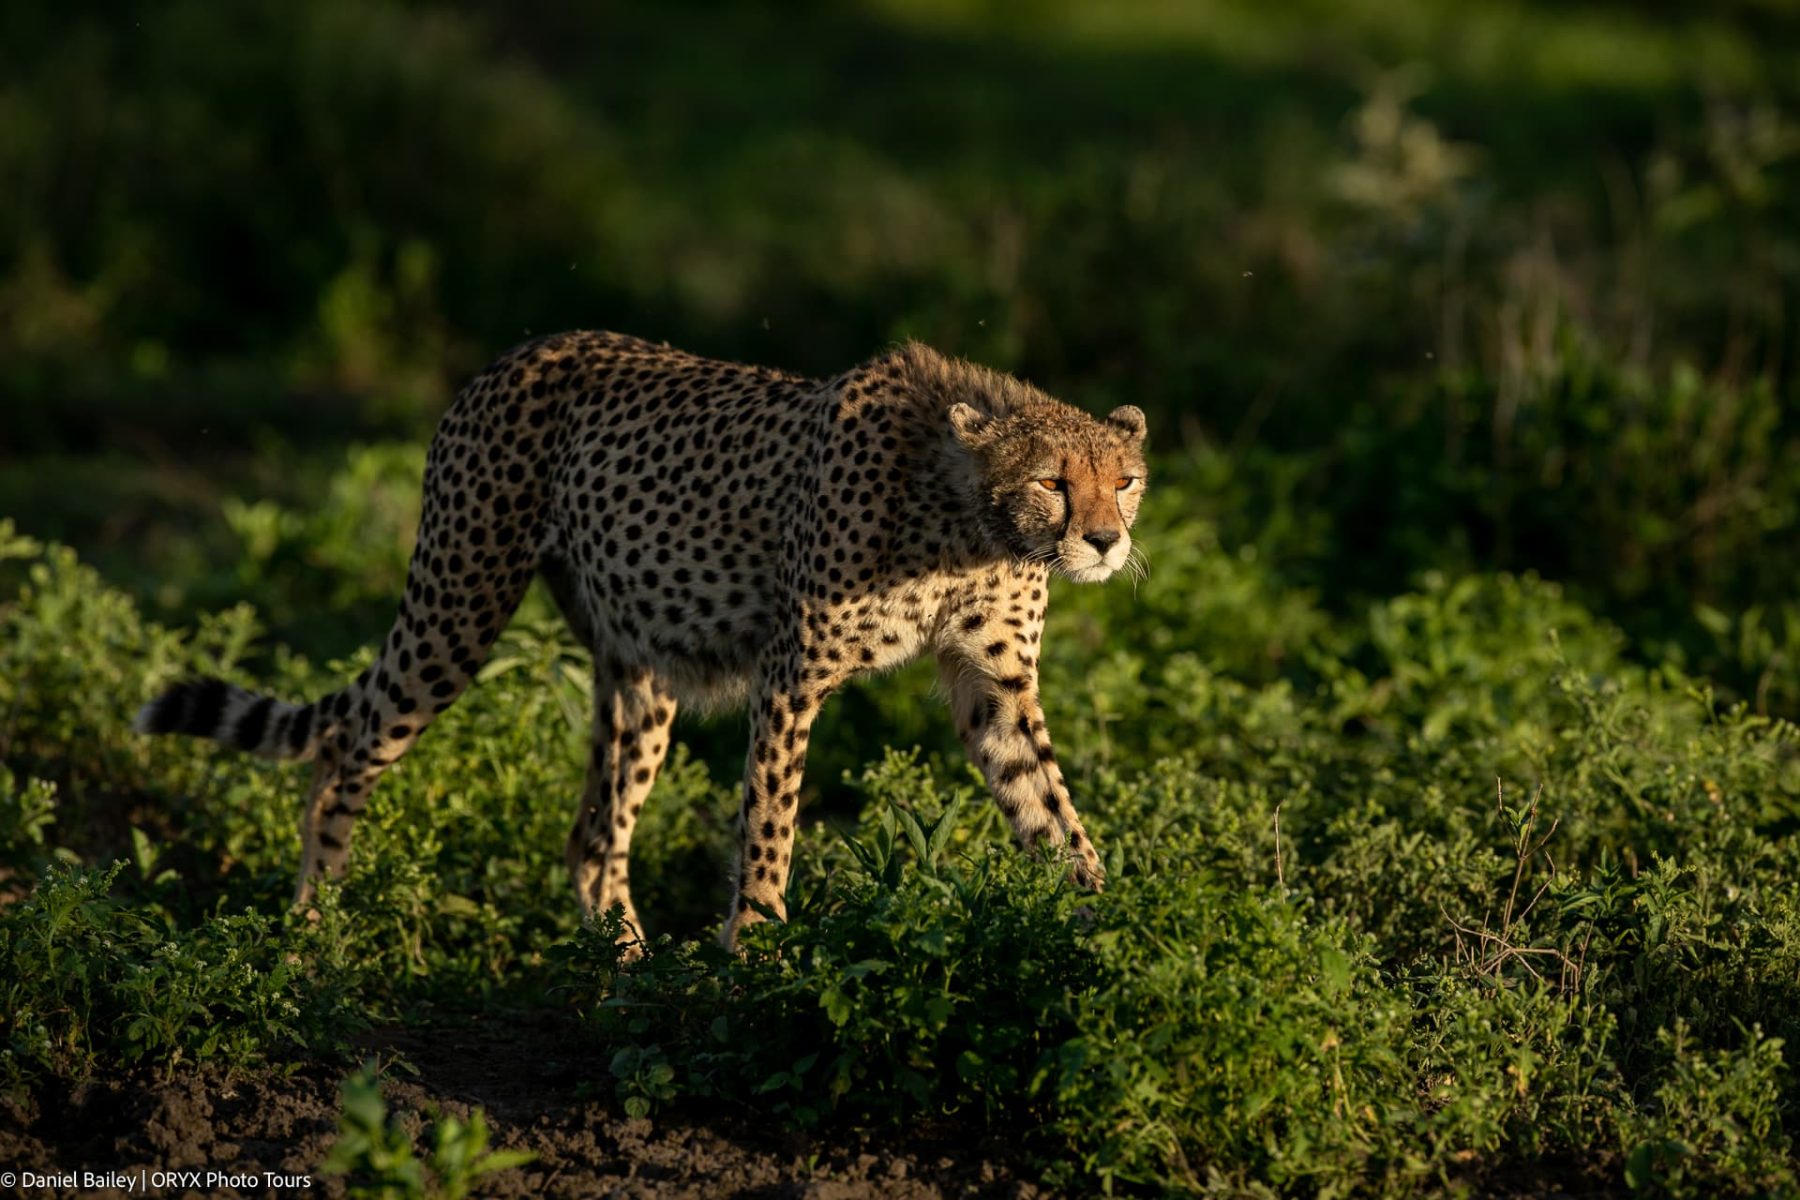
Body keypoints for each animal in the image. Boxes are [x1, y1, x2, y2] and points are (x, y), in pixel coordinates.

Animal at [135, 331, 1149, 948]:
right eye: (1055, 481)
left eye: (1127, 479)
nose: (1105, 541)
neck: (966, 519)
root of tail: (521, 350)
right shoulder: (791, 677)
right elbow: (770, 826)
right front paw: (760, 954)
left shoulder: (996, 688)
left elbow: (1051, 811)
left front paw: (1117, 936)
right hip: (459, 604)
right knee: (347, 746)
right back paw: (317, 927)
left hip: (640, 672)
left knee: (592, 833)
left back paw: (624, 964)